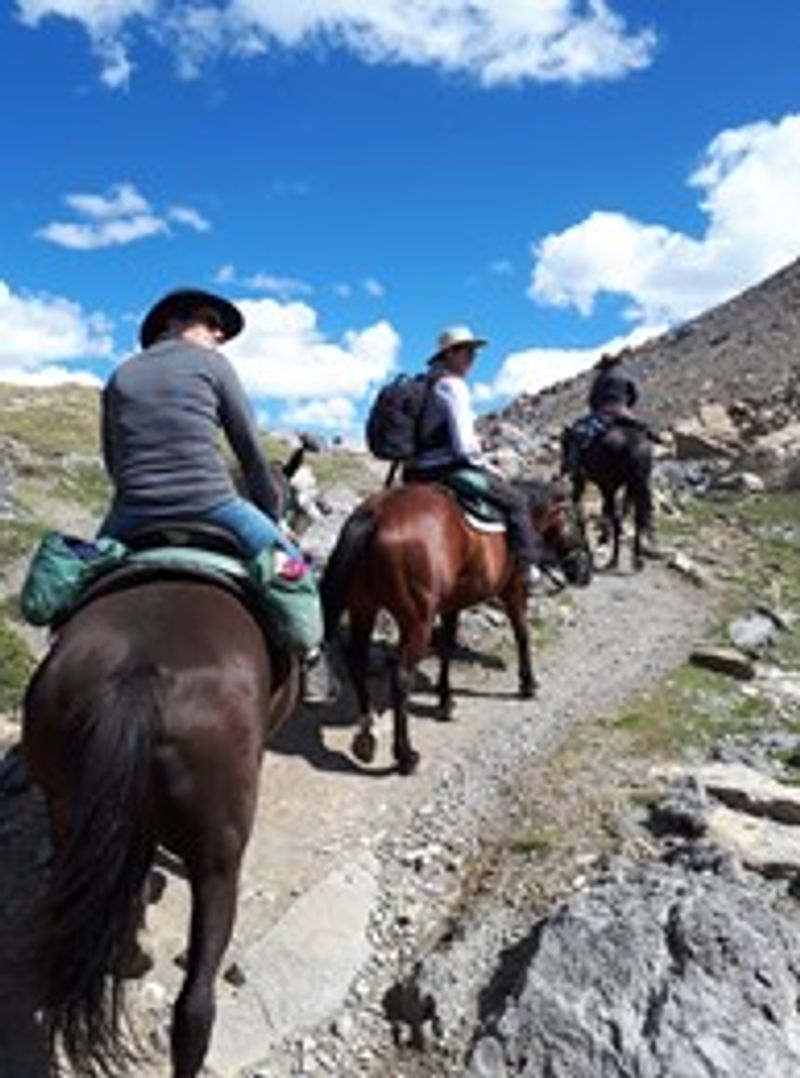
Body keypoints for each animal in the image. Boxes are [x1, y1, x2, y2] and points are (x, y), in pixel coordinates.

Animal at [321, 480, 595, 776]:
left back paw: (365, 738)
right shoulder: (514, 592)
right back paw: (405, 755)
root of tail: (376, 516)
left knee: (357, 663)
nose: (586, 572)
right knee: (401, 677)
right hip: (417, 622)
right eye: (580, 522)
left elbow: (447, 648)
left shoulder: (451, 605)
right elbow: (522, 634)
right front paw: (528, 683)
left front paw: (445, 700)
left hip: (363, 609)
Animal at [564, 420, 659, 573]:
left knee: (616, 517)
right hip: (637, 484)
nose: (565, 467)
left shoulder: (589, 482)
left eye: (564, 444)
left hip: (612, 486)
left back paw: (613, 559)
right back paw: (636, 559)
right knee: (638, 517)